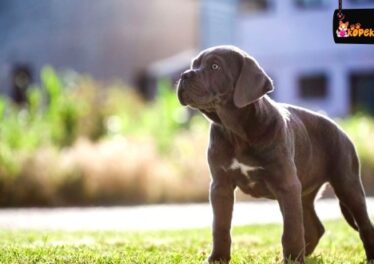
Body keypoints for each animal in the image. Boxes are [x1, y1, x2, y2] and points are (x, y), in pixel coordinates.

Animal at [176, 46, 374, 264]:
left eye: (215, 66)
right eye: (194, 64)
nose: (184, 75)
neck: (237, 131)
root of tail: (341, 129)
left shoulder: (286, 185)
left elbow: (291, 230)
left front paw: (292, 258)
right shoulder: (221, 185)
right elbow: (220, 226)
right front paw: (218, 258)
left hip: (347, 184)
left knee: (364, 225)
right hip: (304, 192)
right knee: (315, 228)